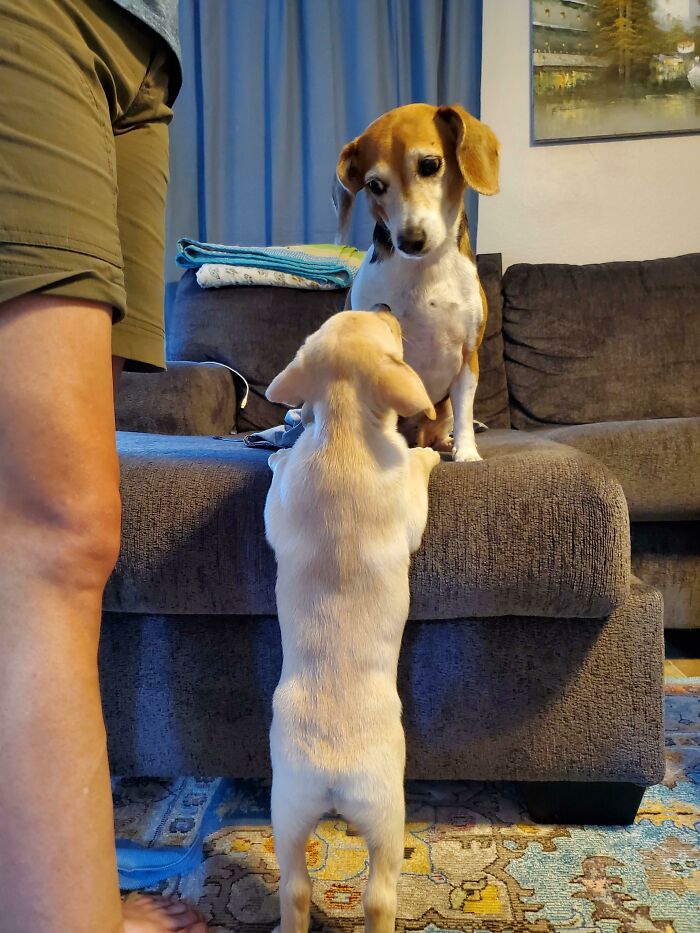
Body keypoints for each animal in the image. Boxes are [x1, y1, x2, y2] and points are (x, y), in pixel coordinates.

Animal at [262, 312, 438, 932]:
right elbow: (414, 471)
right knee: (379, 894)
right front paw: (428, 455)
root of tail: (333, 775)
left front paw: (277, 457)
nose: (386, 303)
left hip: (287, 811)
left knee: (295, 887)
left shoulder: (279, 510)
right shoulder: (408, 505)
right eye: (390, 330)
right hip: (387, 815)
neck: (339, 427)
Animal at [332, 103, 498, 462]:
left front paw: (467, 452)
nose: (409, 240)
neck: (425, 270)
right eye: (374, 185)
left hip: (443, 408)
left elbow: (465, 412)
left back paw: (447, 443)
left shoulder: (468, 356)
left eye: (429, 165)